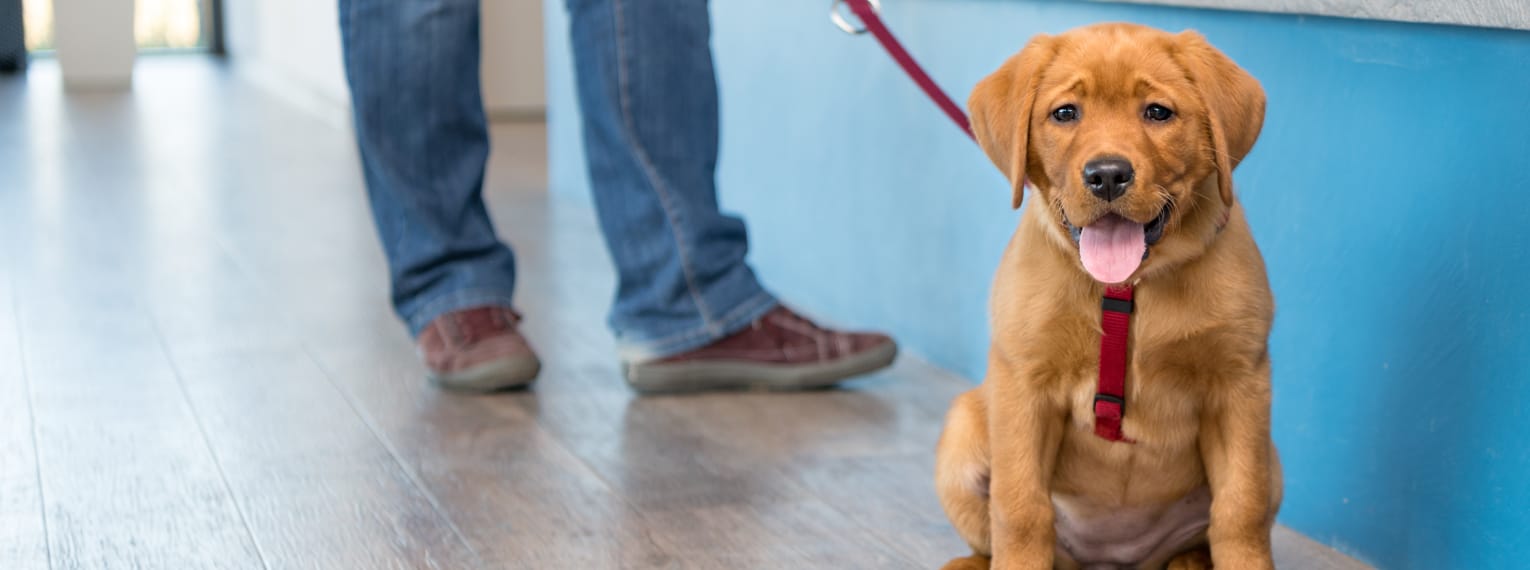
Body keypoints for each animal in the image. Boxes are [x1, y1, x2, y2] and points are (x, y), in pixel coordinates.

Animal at [930, 23, 1279, 568]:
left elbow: (1241, 509)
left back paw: (1186, 561)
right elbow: (1020, 508)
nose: (1108, 174)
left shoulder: (1240, 385)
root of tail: (1113, 557)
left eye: (1157, 112)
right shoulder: (1023, 384)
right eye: (1065, 113)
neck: (1128, 287)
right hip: (962, 431)